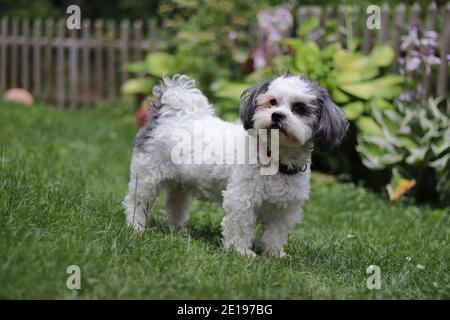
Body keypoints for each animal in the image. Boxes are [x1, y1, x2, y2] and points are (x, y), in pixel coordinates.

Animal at [123, 74, 348, 256]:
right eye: (272, 102)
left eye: (299, 108)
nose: (277, 115)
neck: (274, 159)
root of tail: (170, 114)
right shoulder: (241, 198)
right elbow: (240, 226)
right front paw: (241, 251)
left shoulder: (286, 208)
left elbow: (276, 233)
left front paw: (274, 253)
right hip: (147, 176)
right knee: (136, 202)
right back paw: (136, 227)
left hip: (181, 184)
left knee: (175, 205)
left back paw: (177, 230)